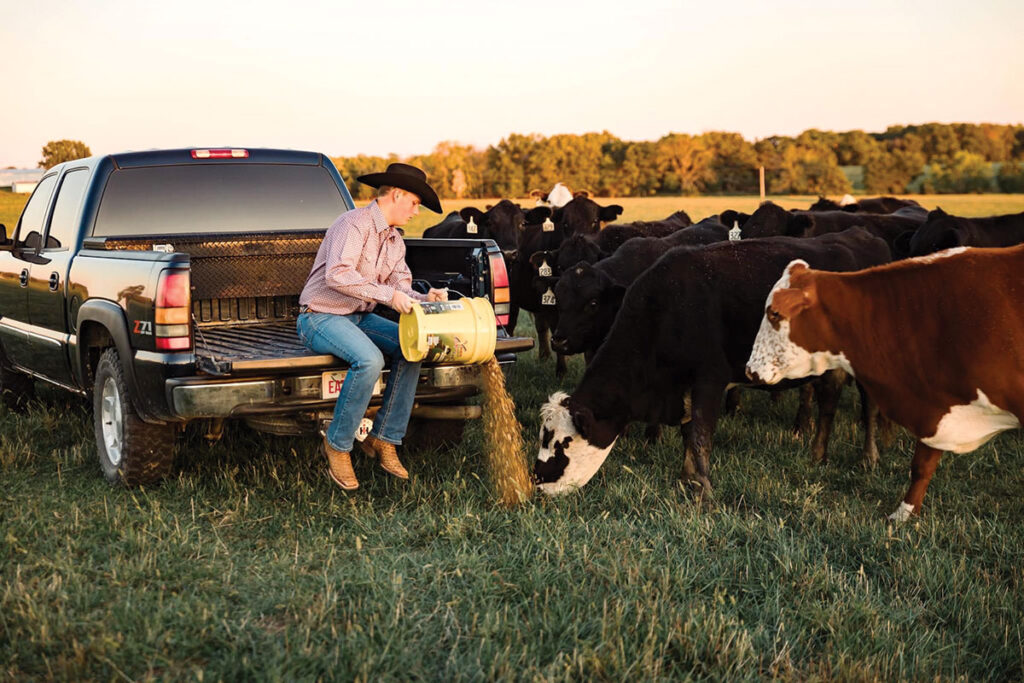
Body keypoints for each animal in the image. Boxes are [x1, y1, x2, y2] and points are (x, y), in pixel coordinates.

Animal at [532, 228, 892, 497]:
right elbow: (689, 432)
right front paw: (687, 477)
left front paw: (703, 490)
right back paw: (818, 455)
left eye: (560, 444)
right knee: (828, 401)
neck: (667, 308)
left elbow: (700, 434)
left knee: (870, 407)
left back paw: (869, 457)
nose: (538, 482)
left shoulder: (710, 379)